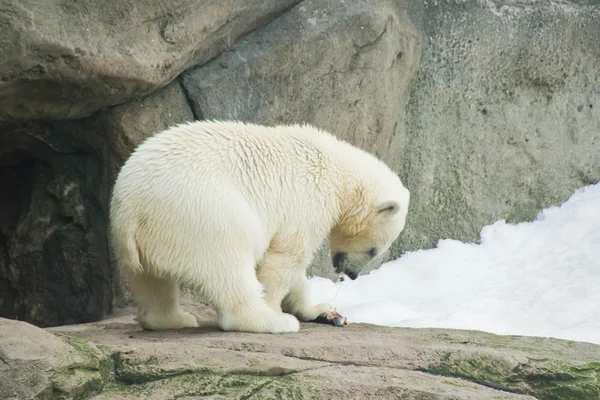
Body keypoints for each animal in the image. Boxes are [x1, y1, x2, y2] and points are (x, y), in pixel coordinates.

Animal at [109, 120, 408, 332]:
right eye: (373, 250)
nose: (353, 275)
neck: (337, 170)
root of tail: (132, 206)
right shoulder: (308, 199)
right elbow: (287, 258)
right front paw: (277, 310)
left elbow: (295, 270)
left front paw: (323, 311)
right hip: (200, 212)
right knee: (228, 264)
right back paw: (269, 321)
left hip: (148, 230)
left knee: (151, 279)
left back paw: (174, 319)